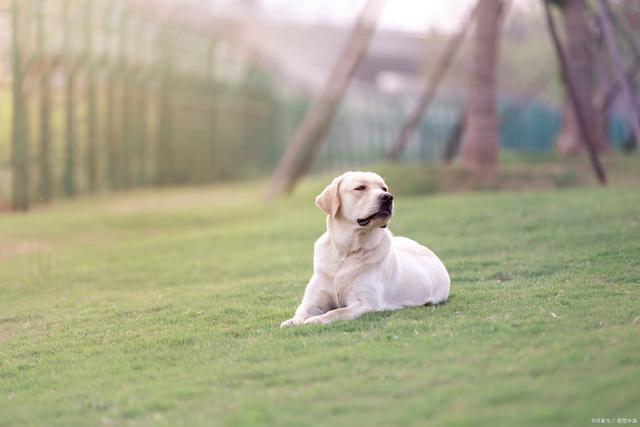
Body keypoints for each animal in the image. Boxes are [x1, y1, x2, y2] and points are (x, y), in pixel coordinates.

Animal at [280, 171, 450, 328]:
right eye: (360, 188)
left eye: (384, 188)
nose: (388, 197)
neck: (346, 252)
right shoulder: (313, 302)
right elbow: (301, 311)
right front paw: (292, 321)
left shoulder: (365, 303)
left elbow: (336, 312)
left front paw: (316, 320)